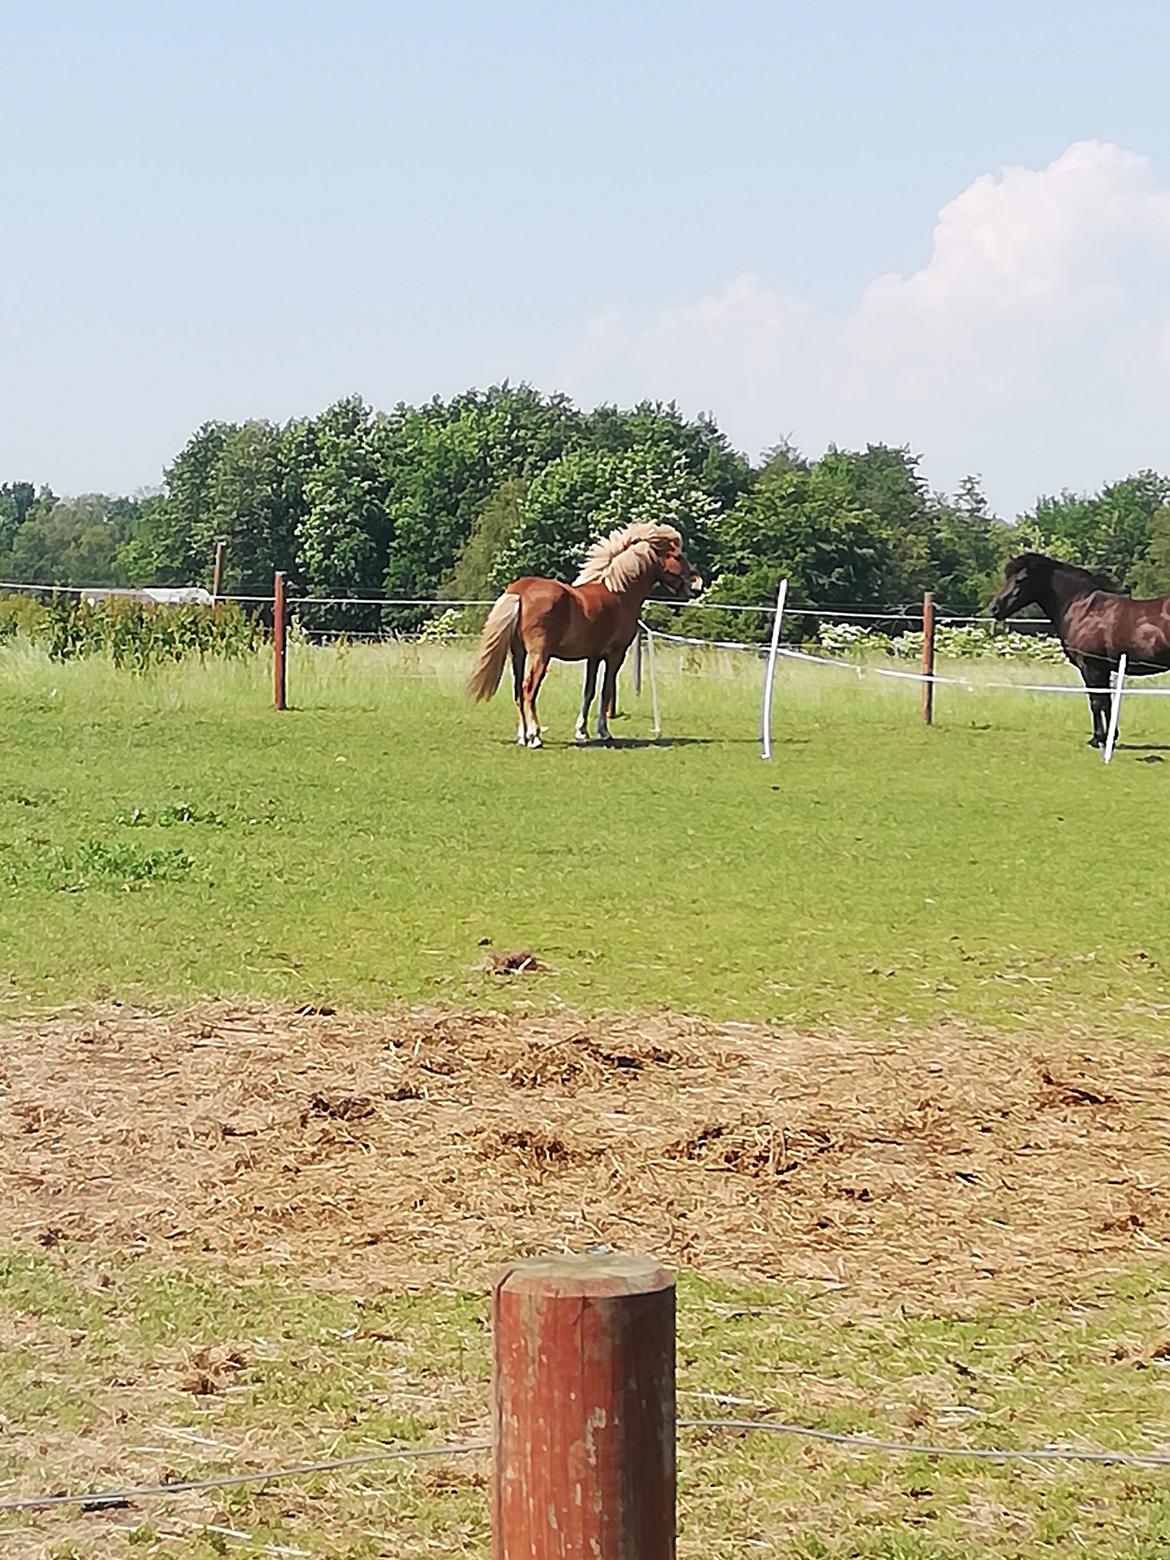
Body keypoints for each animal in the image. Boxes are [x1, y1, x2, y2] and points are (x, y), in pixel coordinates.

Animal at [471, 521, 702, 745]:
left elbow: (588, 692)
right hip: (540, 655)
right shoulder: (615, 654)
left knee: (519, 692)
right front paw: (604, 732)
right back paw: (534, 736)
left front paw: (581, 732)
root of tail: (520, 591)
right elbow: (606, 691)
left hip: (517, 653)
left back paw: (523, 735)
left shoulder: (593, 656)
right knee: (529, 690)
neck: (619, 591)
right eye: (677, 556)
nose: (697, 583)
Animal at [992, 555, 1170, 748]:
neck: (1082, 607)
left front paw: (1097, 738)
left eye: (1021, 579)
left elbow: (1096, 701)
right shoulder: (1103, 669)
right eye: (1006, 576)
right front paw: (1109, 737)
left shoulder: (1091, 667)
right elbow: (1106, 702)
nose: (994, 608)